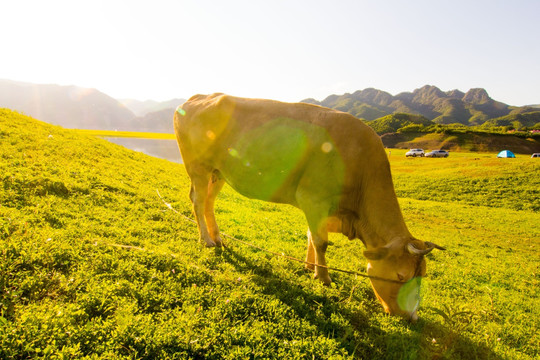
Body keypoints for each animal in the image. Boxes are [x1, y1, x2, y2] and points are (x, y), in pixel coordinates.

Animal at [175, 93, 446, 320]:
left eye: (422, 276)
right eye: (401, 276)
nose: (411, 317)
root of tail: (197, 97)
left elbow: (310, 236)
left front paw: (309, 265)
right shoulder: (314, 199)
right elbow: (321, 241)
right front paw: (323, 276)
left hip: (217, 172)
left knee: (209, 202)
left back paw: (217, 238)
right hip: (198, 167)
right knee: (198, 200)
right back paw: (206, 240)